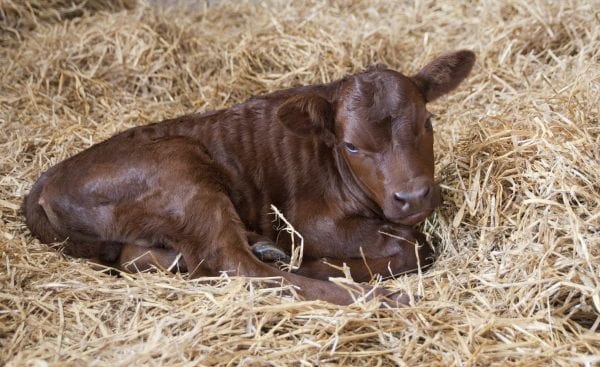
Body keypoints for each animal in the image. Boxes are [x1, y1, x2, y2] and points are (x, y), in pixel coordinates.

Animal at [22, 50, 474, 306]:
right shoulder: (309, 222)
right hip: (180, 171)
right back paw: (378, 297)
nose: (412, 197)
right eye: (351, 146)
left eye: (428, 122)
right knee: (234, 266)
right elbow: (414, 245)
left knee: (147, 258)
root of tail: (46, 181)